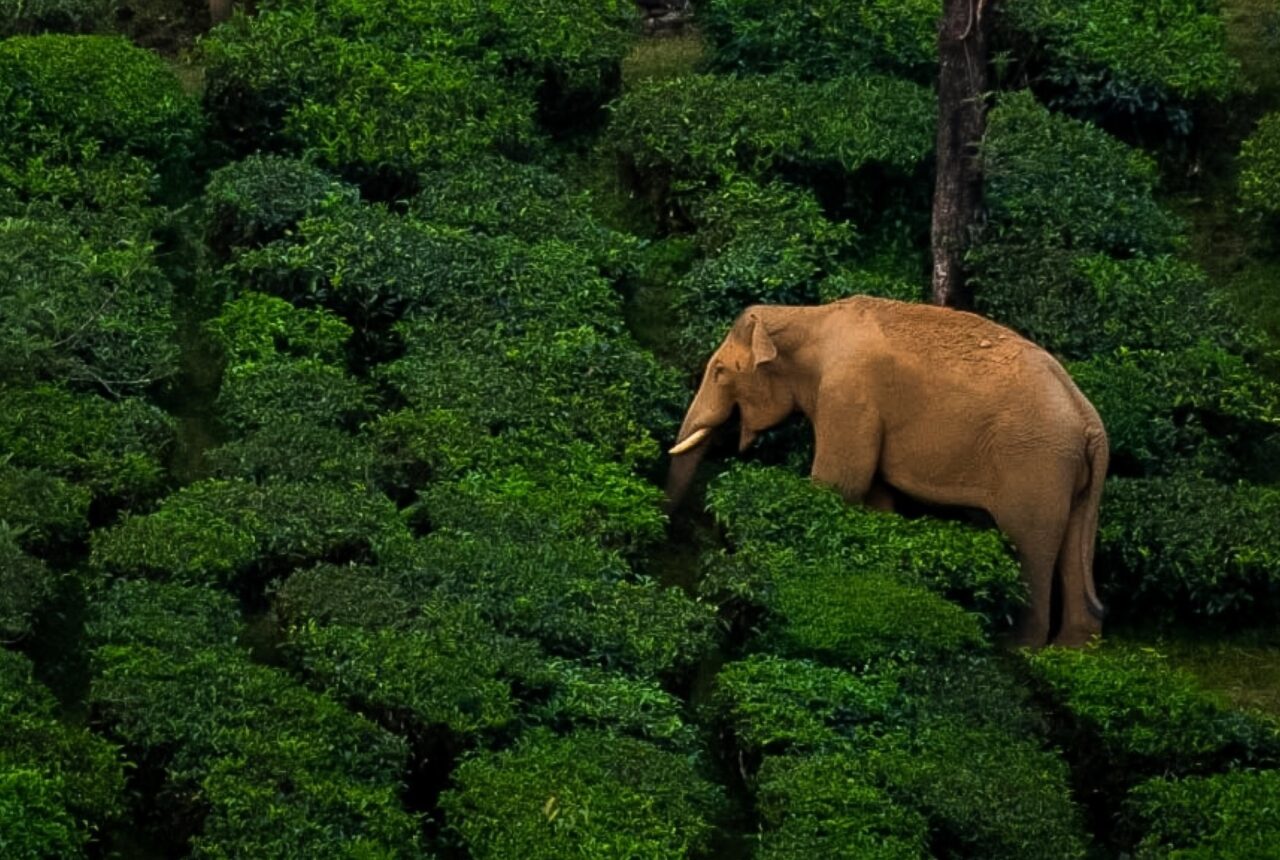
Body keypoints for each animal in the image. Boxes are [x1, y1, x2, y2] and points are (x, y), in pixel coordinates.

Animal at [666, 297, 1108, 648]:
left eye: (720, 371)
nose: (667, 529)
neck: (807, 315)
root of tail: (1091, 422)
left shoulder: (848, 391)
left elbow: (840, 483)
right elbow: (875, 495)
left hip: (1034, 463)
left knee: (1028, 546)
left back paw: (1017, 648)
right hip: (1068, 477)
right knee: (1072, 548)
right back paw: (1069, 653)